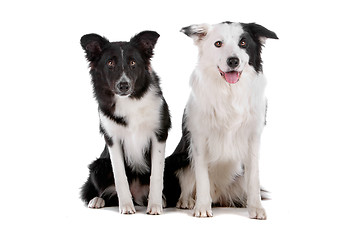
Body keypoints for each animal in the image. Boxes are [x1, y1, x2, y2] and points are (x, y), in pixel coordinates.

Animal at [80, 31, 172, 215]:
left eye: (132, 62)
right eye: (110, 63)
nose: (124, 85)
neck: (130, 101)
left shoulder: (159, 134)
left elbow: (156, 175)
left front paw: (155, 205)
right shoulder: (112, 139)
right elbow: (119, 175)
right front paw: (126, 207)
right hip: (98, 165)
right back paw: (97, 200)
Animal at [163, 22, 278, 219]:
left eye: (243, 42)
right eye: (218, 44)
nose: (233, 61)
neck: (229, 91)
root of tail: (219, 196)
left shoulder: (253, 138)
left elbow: (254, 178)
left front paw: (256, 208)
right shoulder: (199, 139)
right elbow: (202, 177)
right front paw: (202, 207)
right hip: (179, 160)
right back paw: (187, 201)